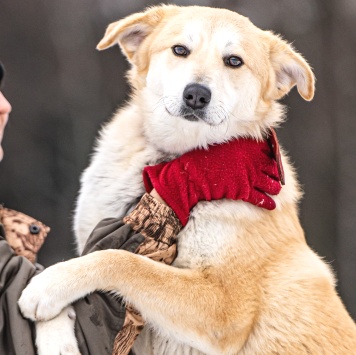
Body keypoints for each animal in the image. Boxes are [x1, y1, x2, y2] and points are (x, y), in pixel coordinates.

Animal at [18, 4, 356, 354]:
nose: (196, 94)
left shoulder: (226, 308)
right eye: (180, 50)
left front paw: (49, 286)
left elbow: (122, 261)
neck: (176, 157)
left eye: (234, 60)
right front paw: (55, 334)